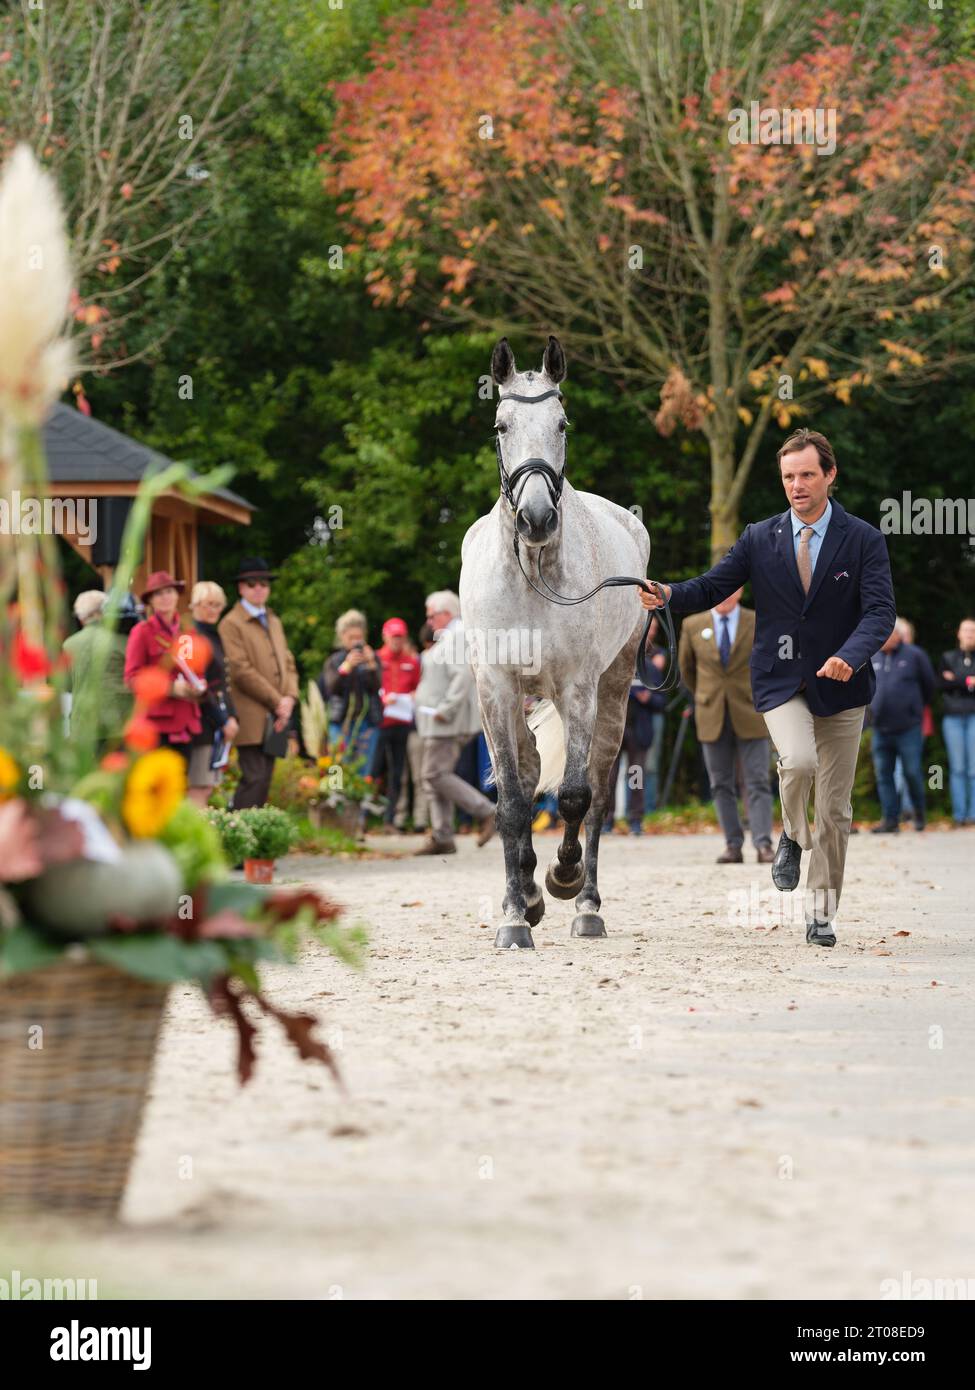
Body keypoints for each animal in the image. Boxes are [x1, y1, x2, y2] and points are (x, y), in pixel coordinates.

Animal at [459, 335, 652, 949]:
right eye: (500, 426)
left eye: (562, 423)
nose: (537, 517)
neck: (532, 573)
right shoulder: (496, 689)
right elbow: (513, 802)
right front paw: (515, 916)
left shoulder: (579, 689)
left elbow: (573, 796)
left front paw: (561, 877)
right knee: (525, 769)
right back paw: (524, 891)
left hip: (613, 694)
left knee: (598, 791)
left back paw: (585, 904)